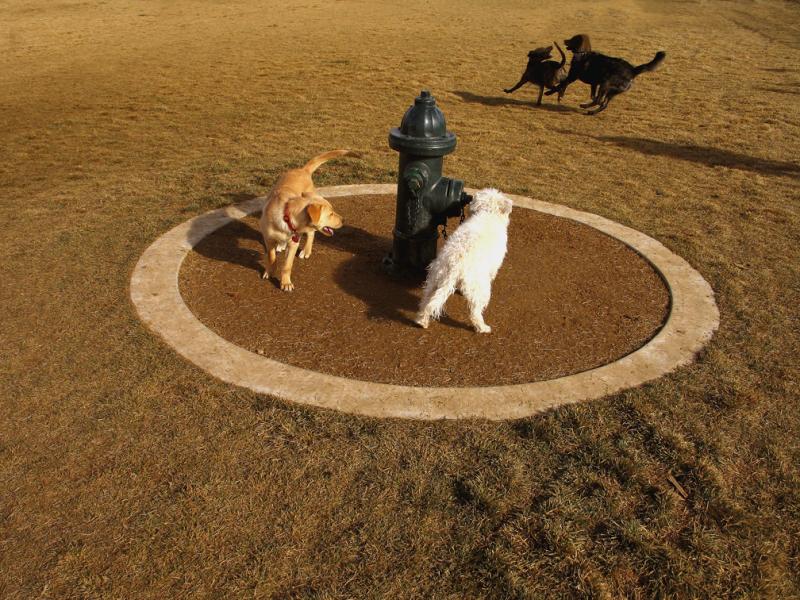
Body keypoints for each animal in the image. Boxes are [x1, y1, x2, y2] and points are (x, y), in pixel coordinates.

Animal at [260, 149, 356, 290]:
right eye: (331, 214)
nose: (344, 220)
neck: (287, 216)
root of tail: (303, 170)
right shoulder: (268, 239)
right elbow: (271, 257)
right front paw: (270, 271)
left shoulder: (294, 242)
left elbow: (287, 265)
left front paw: (285, 282)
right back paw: (282, 245)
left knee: (311, 234)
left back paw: (306, 251)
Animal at [416, 188, 510, 332]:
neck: (487, 213)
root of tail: (455, 265)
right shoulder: (494, 265)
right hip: (480, 288)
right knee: (474, 312)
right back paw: (482, 327)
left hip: (434, 280)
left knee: (427, 301)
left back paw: (422, 321)